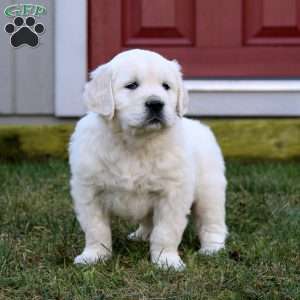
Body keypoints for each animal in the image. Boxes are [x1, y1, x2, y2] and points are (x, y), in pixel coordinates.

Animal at [69, 48, 226, 270]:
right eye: (132, 85)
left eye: (166, 86)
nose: (156, 104)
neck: (136, 142)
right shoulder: (89, 190)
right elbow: (96, 228)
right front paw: (94, 256)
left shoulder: (172, 193)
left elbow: (166, 231)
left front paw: (166, 260)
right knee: (149, 221)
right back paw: (140, 235)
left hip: (209, 190)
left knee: (212, 222)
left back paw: (212, 249)